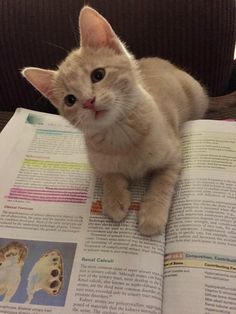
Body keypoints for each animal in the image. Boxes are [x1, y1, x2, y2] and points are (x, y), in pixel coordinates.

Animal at [21, 6, 208, 236]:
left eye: (98, 74)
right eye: (70, 100)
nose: (89, 102)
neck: (119, 133)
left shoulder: (174, 155)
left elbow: (163, 182)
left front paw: (152, 213)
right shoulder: (99, 163)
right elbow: (109, 176)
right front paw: (114, 199)